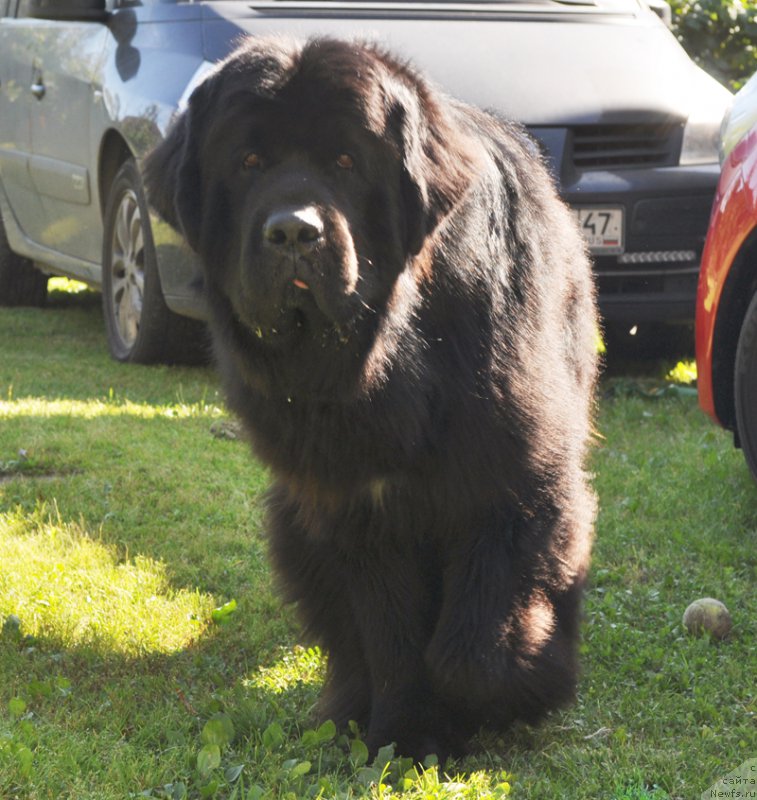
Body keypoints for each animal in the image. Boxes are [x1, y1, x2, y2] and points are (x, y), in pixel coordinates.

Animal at [146, 37, 596, 760]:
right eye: (247, 163)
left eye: (346, 161)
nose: (293, 232)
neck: (392, 358)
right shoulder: (357, 505)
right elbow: (390, 636)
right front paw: (408, 732)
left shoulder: (514, 478)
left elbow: (477, 647)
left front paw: (516, 696)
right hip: (293, 517)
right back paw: (346, 707)